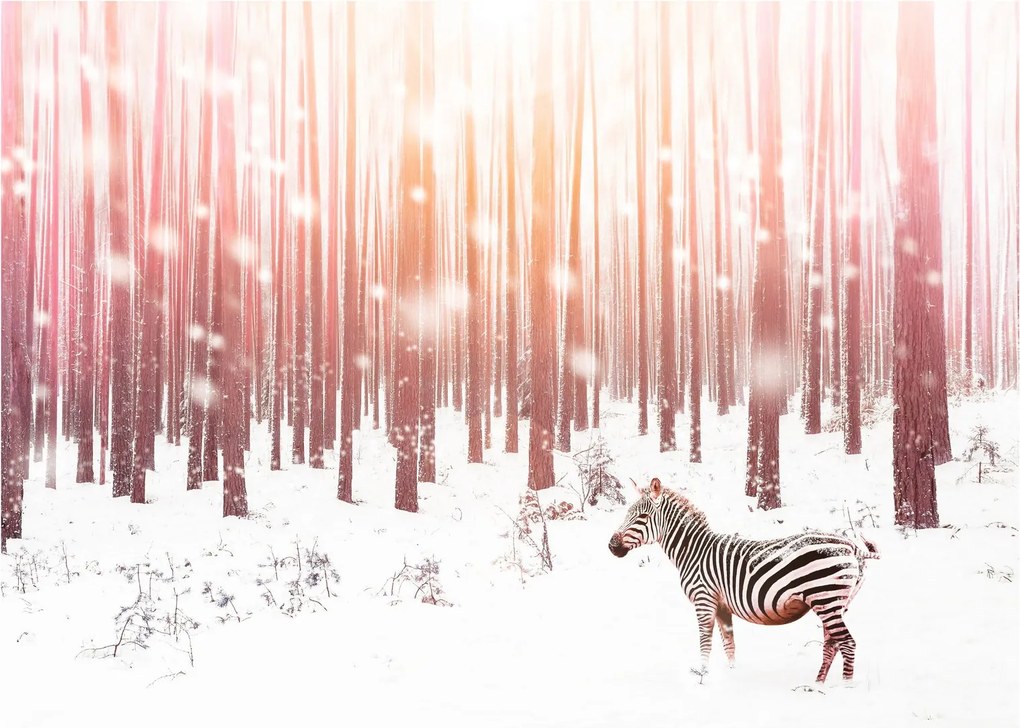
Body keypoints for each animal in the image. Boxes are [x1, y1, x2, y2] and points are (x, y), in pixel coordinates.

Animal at [608, 478, 879, 682]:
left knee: (847, 643)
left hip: (826, 599)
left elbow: (705, 641)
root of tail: (851, 546)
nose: (611, 546)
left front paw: (702, 676)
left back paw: (844, 688)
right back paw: (817, 684)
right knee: (832, 644)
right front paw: (732, 675)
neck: (694, 551)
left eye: (642, 517)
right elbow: (729, 644)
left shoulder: (704, 600)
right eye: (628, 514)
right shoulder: (721, 606)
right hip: (835, 603)